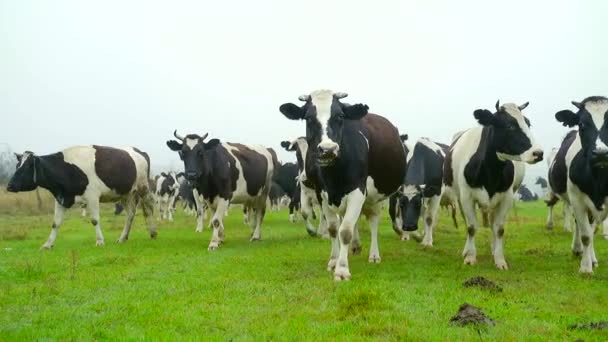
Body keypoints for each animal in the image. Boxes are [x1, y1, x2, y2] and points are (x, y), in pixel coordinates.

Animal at [5, 146, 157, 247]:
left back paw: (153, 233)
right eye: (17, 166)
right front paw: (48, 244)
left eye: (26, 167)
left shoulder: (92, 196)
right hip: (126, 193)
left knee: (148, 208)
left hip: (143, 188)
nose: (9, 186)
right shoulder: (61, 198)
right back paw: (122, 238)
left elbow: (95, 220)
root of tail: (138, 151)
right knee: (130, 214)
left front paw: (100, 241)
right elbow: (55, 223)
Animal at [280, 91, 406, 280]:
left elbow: (345, 230)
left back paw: (374, 254)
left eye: (340, 116)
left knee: (373, 220)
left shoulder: (358, 191)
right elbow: (334, 228)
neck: (334, 176)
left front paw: (342, 269)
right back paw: (355, 246)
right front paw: (334, 260)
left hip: (376, 196)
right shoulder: (322, 193)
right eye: (308, 118)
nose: (328, 149)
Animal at [552, 96, 608, 272]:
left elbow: (592, 232)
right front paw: (585, 268)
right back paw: (578, 250)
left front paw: (591, 261)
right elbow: (586, 235)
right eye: (582, 124)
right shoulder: (577, 199)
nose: (601, 153)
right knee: (580, 225)